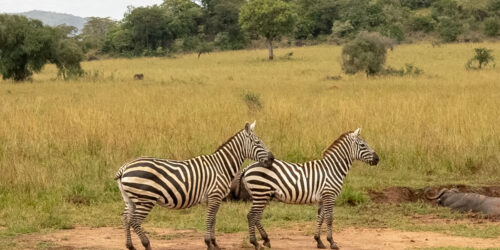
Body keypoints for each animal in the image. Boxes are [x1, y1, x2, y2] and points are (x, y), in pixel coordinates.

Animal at [115, 121, 276, 250]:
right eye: (257, 142)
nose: (272, 159)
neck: (221, 166)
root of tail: (125, 167)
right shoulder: (215, 195)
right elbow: (210, 219)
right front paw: (209, 243)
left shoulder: (212, 199)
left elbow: (213, 219)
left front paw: (214, 244)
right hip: (145, 199)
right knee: (134, 221)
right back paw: (146, 244)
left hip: (130, 199)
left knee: (126, 219)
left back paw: (130, 246)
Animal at [240, 128, 376, 249]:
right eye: (363, 145)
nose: (377, 159)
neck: (332, 169)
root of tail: (248, 167)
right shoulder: (329, 195)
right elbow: (329, 219)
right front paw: (332, 242)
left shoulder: (322, 198)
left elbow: (320, 218)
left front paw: (319, 241)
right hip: (261, 193)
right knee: (251, 216)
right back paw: (255, 243)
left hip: (263, 195)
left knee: (257, 217)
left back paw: (266, 240)